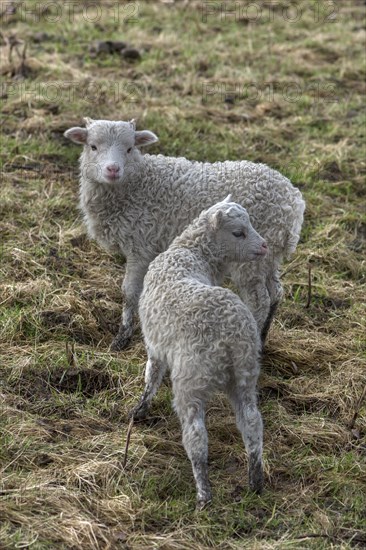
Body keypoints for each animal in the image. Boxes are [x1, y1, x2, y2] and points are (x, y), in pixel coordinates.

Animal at [64, 118, 304, 352]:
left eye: (130, 148)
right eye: (93, 146)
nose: (112, 169)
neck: (138, 184)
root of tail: (293, 203)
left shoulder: (141, 245)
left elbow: (129, 292)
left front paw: (122, 337)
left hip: (251, 256)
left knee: (258, 301)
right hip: (269, 254)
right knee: (276, 293)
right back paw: (263, 337)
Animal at [131, 197, 266, 508]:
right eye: (239, 232)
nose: (265, 246)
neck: (190, 253)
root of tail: (232, 337)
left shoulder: (155, 344)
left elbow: (151, 375)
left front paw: (139, 411)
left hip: (191, 380)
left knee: (196, 436)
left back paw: (204, 494)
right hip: (245, 375)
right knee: (252, 424)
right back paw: (255, 481)